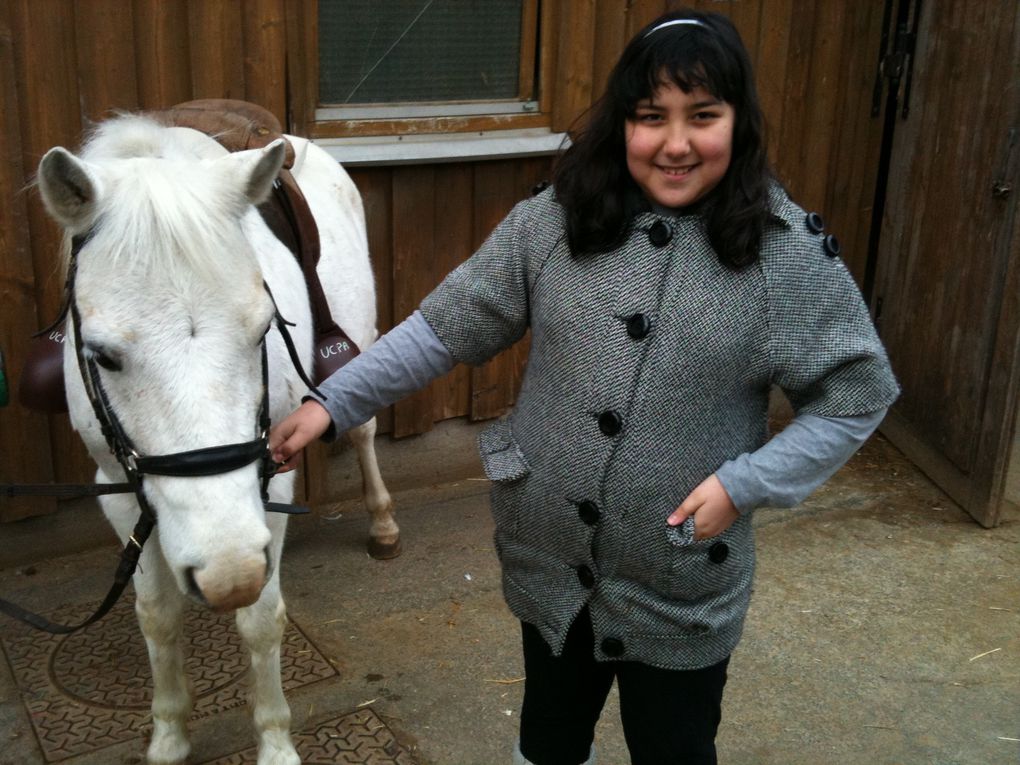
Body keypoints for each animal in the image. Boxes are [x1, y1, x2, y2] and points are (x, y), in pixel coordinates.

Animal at [35, 115, 395, 765]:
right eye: (101, 355)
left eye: (262, 331)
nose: (229, 571)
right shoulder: (116, 487)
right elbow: (156, 616)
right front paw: (169, 734)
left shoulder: (270, 473)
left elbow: (260, 619)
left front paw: (275, 743)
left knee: (363, 430)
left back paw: (383, 524)